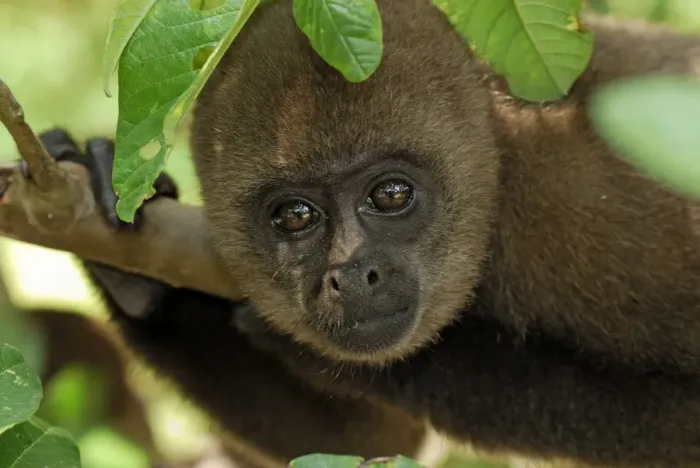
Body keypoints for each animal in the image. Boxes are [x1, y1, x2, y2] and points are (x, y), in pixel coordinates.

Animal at [28, 1, 700, 467]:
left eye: (391, 195)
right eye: (296, 216)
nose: (353, 274)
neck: (500, 176)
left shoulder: (601, 211)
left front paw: (342, 365)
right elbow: (376, 441)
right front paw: (134, 278)